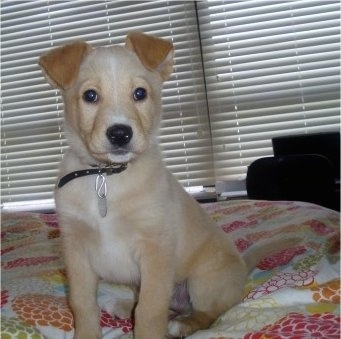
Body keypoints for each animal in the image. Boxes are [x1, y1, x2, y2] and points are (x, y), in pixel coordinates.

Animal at [37, 32, 298, 339]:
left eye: (140, 93)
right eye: (90, 96)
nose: (120, 134)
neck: (107, 178)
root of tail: (243, 268)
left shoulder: (156, 249)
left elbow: (150, 311)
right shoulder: (76, 250)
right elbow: (82, 303)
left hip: (203, 279)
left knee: (209, 314)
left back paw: (181, 324)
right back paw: (125, 307)